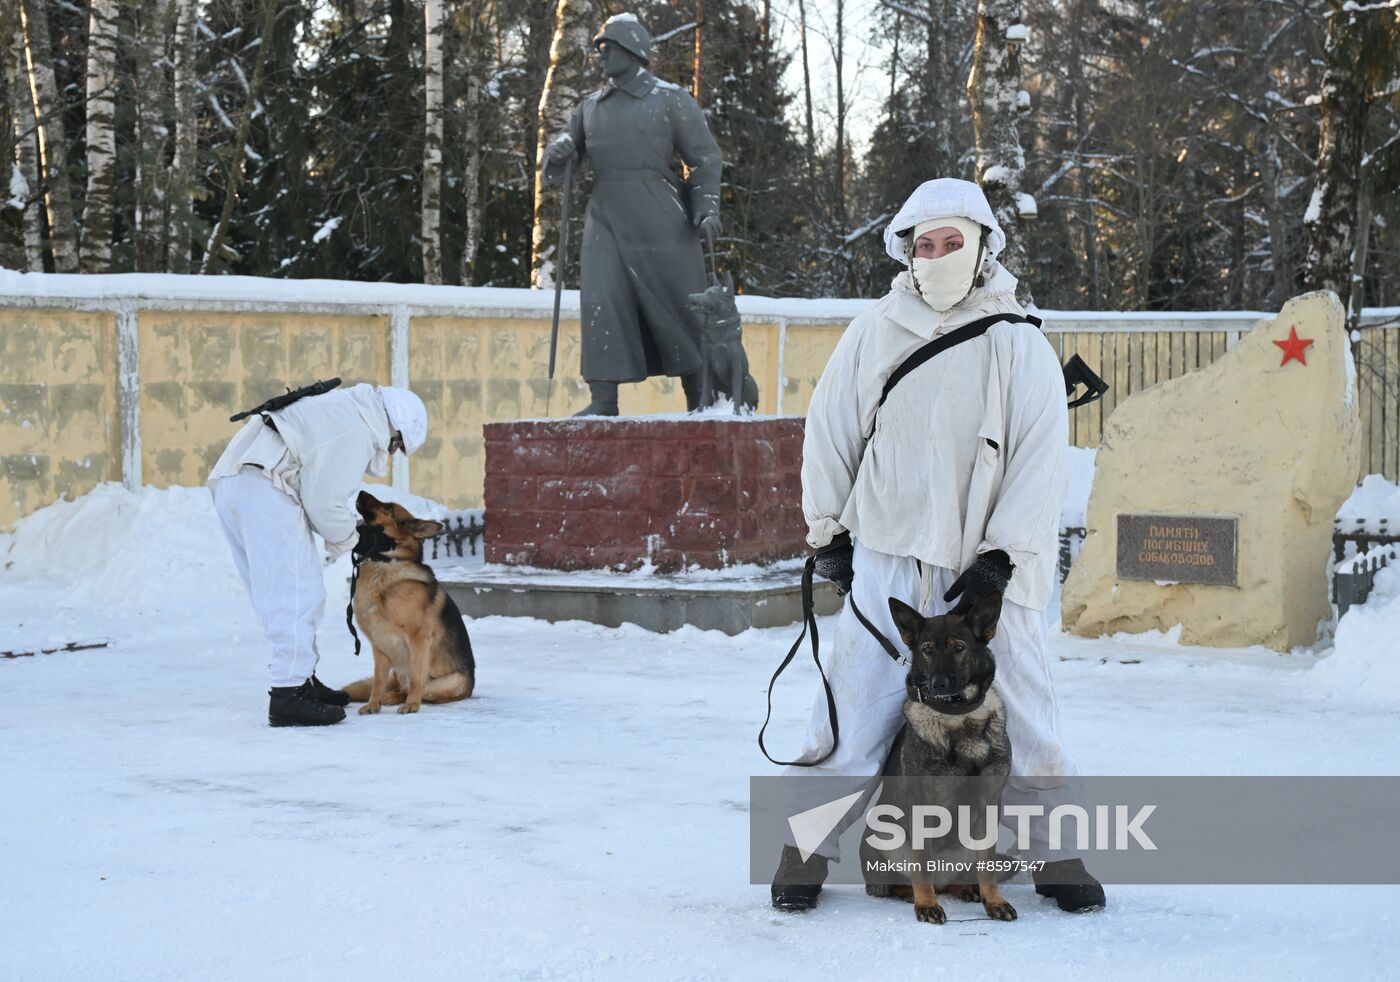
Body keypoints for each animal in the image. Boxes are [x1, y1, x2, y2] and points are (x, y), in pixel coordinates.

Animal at [338, 490, 476, 711]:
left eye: (389, 508)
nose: (361, 492)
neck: (384, 563)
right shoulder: (379, 646)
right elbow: (378, 681)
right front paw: (373, 705)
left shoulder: (418, 638)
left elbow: (417, 679)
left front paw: (411, 705)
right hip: (397, 671)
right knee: (399, 687)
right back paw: (390, 697)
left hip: (454, 681)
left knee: (422, 691)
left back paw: (404, 699)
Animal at [686, 267, 761, 409]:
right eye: (704, 291)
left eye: (710, 294)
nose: (690, 296)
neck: (718, 329)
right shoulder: (707, 364)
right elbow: (704, 390)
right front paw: (701, 410)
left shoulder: (735, 362)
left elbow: (737, 389)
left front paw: (735, 411)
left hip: (749, 381)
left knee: (748, 402)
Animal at [856, 591, 1013, 924]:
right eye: (927, 650)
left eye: (959, 648)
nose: (939, 683)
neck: (958, 717)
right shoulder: (922, 809)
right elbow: (922, 866)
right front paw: (926, 905)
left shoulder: (988, 805)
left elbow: (988, 868)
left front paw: (995, 901)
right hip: (884, 838)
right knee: (896, 883)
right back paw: (911, 894)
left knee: (960, 875)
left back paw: (966, 888)